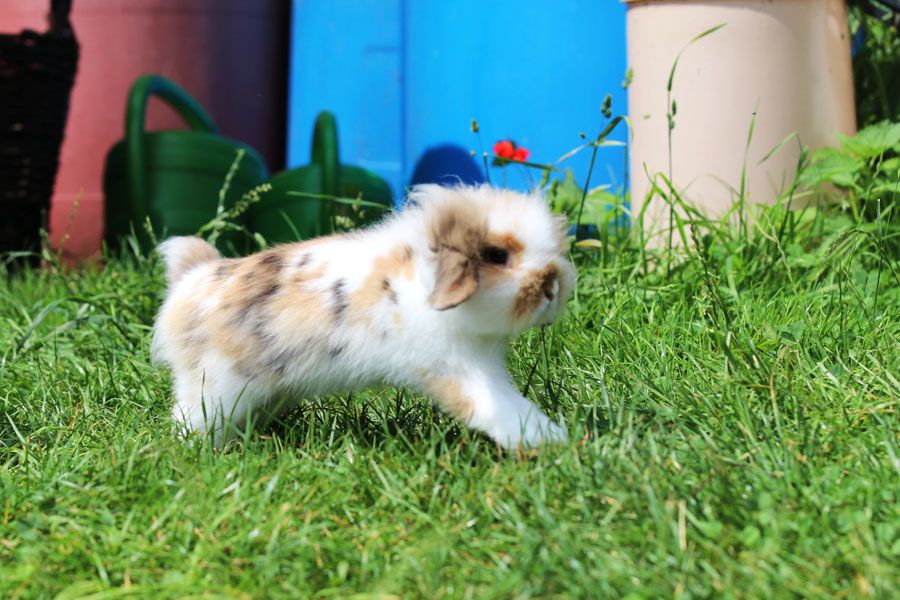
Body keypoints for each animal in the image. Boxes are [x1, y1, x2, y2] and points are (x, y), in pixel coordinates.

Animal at [153, 185, 576, 448]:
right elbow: (501, 409)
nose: (552, 286)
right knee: (188, 419)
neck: (421, 281)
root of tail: (192, 278)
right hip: (213, 388)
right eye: (497, 256)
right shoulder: (463, 372)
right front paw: (553, 443)